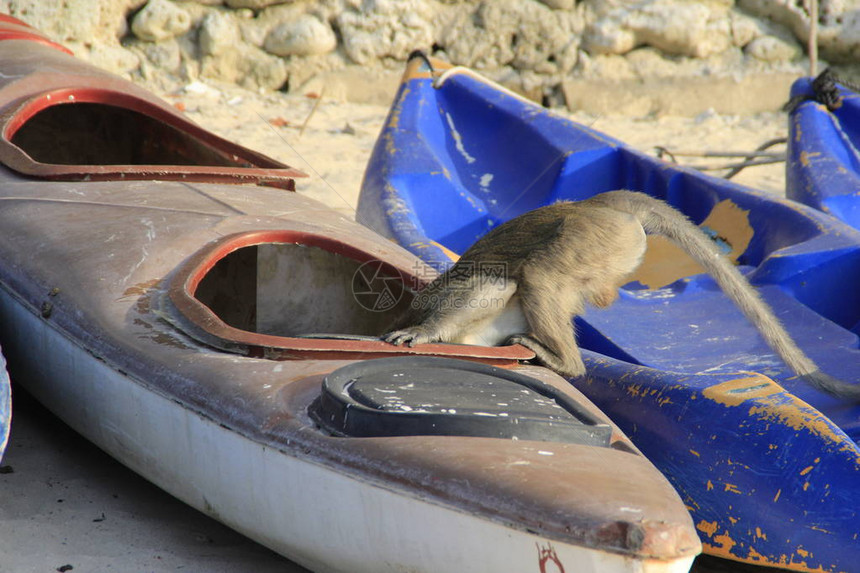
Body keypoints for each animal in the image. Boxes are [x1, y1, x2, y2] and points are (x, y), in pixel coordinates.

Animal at [384, 190, 860, 400]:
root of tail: (598, 203)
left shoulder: (451, 294)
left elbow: (494, 285)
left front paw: (424, 334)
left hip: (597, 238)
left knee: (537, 275)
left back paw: (566, 363)